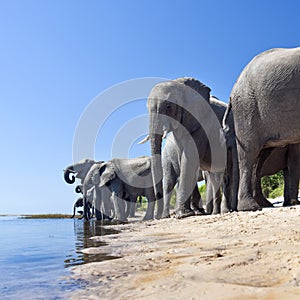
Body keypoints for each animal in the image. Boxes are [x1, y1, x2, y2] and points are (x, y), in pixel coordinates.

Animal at [146, 77, 239, 218]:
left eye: (168, 106)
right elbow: (186, 160)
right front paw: (188, 213)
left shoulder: (202, 125)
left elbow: (189, 159)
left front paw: (184, 215)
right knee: (170, 182)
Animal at [227, 47, 300, 211]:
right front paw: (293, 203)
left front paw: (292, 203)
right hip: (247, 109)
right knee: (248, 155)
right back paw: (250, 207)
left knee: (259, 158)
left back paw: (264, 204)